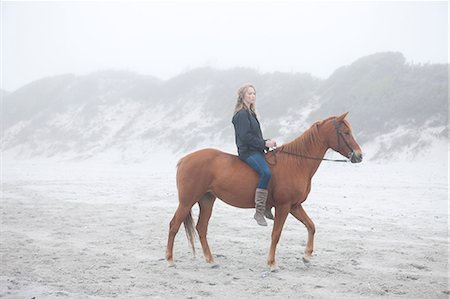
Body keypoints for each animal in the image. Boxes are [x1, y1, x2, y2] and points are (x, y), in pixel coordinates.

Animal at [165, 112, 362, 272]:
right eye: (345, 132)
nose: (359, 156)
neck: (296, 163)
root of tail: (184, 159)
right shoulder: (283, 207)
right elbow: (276, 234)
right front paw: (272, 263)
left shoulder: (295, 206)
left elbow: (311, 226)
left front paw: (306, 256)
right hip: (187, 201)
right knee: (174, 225)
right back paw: (169, 260)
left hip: (207, 200)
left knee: (201, 228)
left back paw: (211, 261)